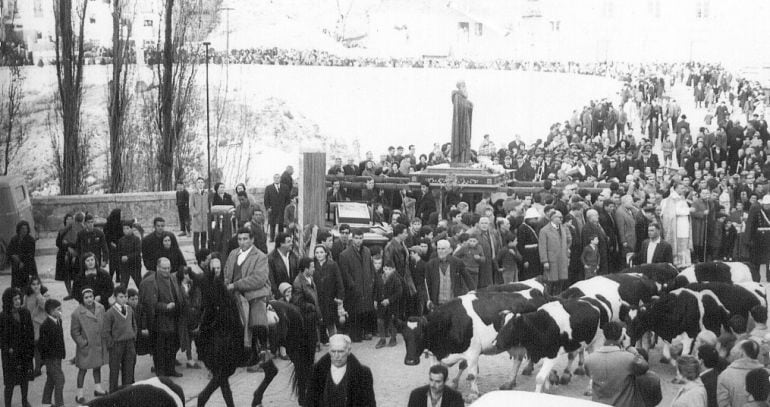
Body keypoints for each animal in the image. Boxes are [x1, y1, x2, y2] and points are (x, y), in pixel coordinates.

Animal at [400, 288, 548, 396]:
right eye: (405, 336)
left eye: (420, 334)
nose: (410, 361)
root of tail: (536, 291)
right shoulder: (435, 354)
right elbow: (443, 370)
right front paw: (452, 383)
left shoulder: (473, 352)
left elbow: (471, 375)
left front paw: (474, 394)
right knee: (517, 359)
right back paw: (510, 382)